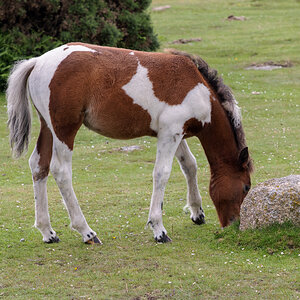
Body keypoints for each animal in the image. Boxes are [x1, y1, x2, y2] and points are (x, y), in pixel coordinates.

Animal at [5, 42, 252, 244]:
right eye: (246, 187)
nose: (234, 224)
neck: (197, 88)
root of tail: (38, 62)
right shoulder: (170, 134)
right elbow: (162, 174)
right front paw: (158, 229)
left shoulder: (174, 133)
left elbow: (189, 165)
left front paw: (197, 213)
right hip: (64, 130)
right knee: (61, 171)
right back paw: (87, 232)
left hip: (47, 127)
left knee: (39, 166)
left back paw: (47, 232)